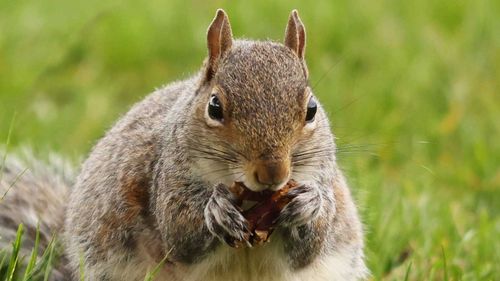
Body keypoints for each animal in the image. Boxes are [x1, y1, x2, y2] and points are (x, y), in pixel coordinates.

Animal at [0, 8, 368, 280]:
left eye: (311, 109)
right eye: (215, 107)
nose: (272, 173)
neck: (253, 198)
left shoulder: (319, 176)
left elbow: (309, 247)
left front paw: (309, 204)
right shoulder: (166, 178)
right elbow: (180, 235)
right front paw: (215, 211)